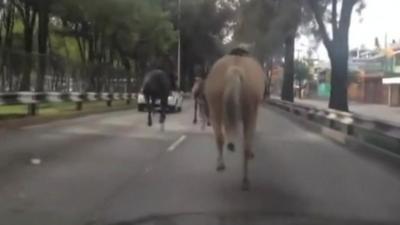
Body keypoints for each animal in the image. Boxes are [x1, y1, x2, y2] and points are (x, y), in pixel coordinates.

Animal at [203, 48, 266, 190]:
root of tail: (235, 69)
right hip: (250, 112)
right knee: (246, 145)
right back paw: (245, 180)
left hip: (215, 107)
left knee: (220, 137)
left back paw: (221, 164)